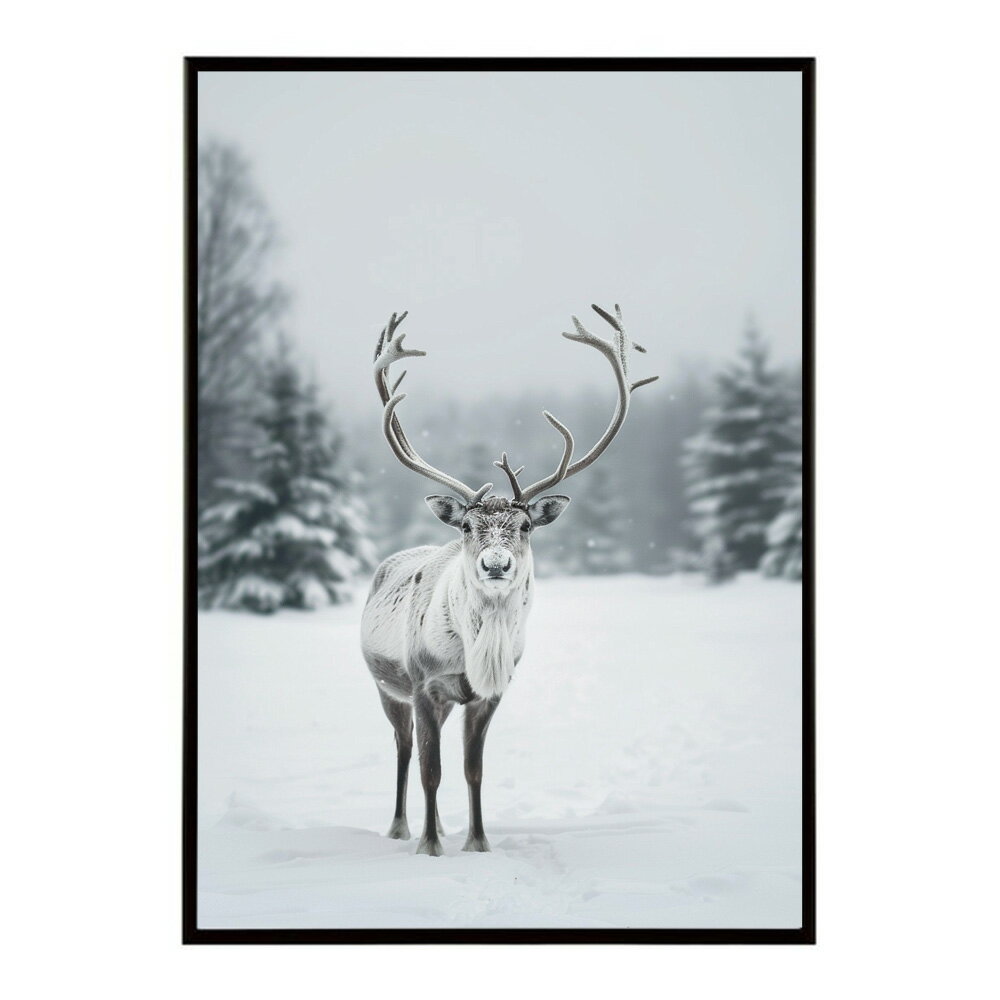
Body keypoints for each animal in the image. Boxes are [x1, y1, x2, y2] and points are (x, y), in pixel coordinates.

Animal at [360, 304, 658, 856]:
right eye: (467, 526)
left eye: (523, 526)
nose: (495, 565)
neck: (476, 652)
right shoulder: (424, 684)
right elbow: (432, 771)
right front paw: (429, 848)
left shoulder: (489, 693)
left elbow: (472, 770)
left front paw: (477, 843)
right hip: (387, 688)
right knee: (404, 753)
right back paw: (401, 828)